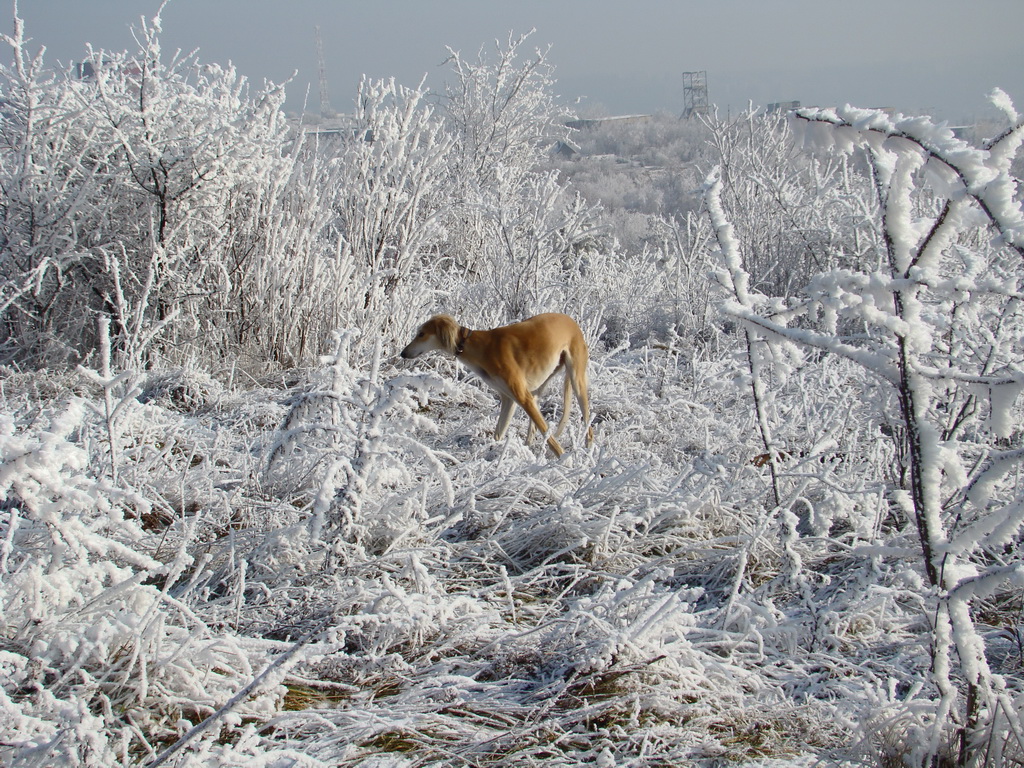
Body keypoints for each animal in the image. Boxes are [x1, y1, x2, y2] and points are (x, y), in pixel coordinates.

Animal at [399, 313, 593, 456]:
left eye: (421, 334)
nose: (402, 353)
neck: (479, 347)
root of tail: (571, 321)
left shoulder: (522, 396)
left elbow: (546, 431)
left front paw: (564, 459)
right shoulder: (509, 399)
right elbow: (498, 433)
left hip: (576, 380)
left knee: (587, 422)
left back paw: (588, 449)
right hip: (540, 387)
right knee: (534, 425)